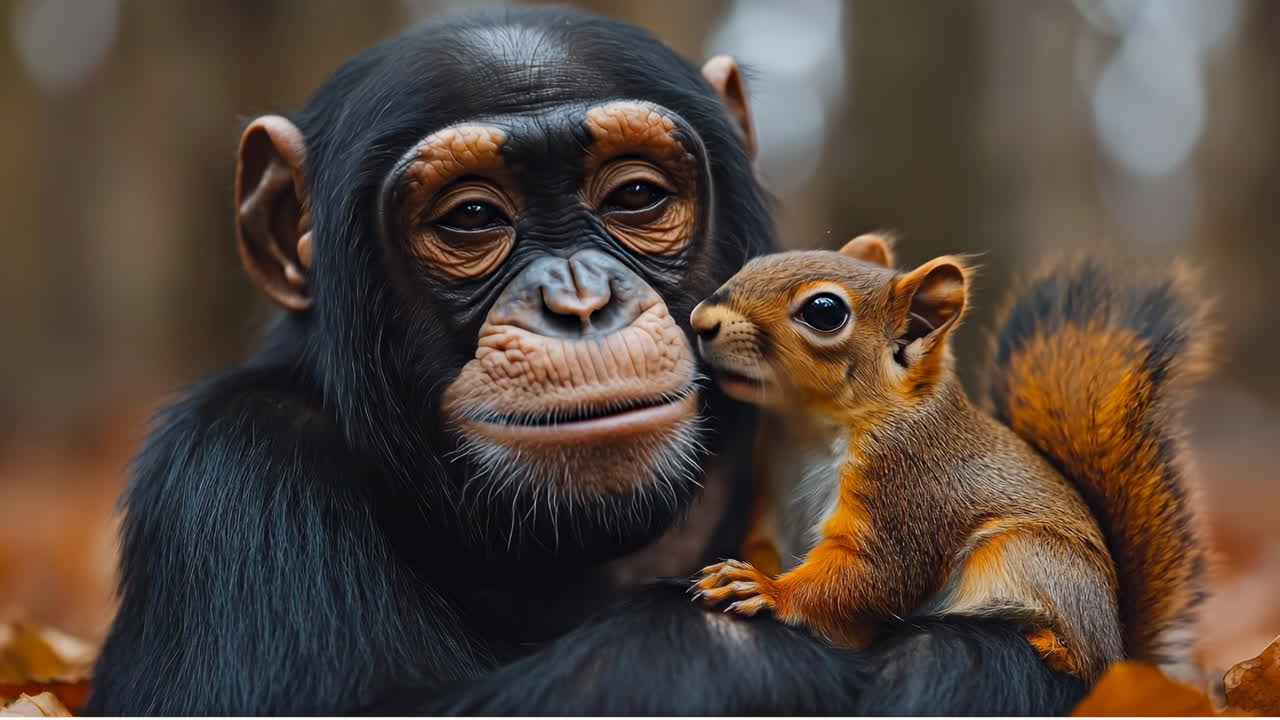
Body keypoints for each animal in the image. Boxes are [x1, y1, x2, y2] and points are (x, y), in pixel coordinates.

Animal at [688, 233, 1209, 685]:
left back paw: (1053, 647)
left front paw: (767, 591)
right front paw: (735, 571)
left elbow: (876, 573)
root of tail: (1121, 651)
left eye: (824, 311)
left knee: (1086, 660)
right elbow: (769, 544)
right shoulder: (778, 490)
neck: (809, 428)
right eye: (756, 262)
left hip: (1029, 556)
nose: (699, 321)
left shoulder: (908, 482)